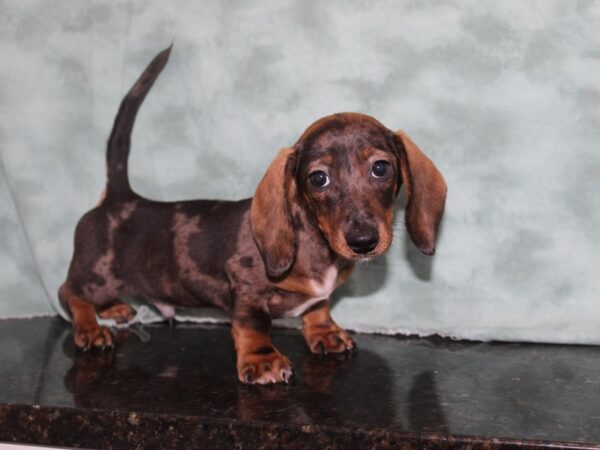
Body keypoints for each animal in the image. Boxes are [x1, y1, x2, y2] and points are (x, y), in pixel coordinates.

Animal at [59, 45, 446, 384]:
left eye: (381, 168)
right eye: (318, 178)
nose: (363, 241)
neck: (313, 241)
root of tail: (119, 197)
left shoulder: (317, 296)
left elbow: (318, 306)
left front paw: (325, 332)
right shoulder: (246, 288)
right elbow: (254, 325)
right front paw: (263, 361)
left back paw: (113, 309)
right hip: (98, 274)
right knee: (70, 292)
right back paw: (90, 327)